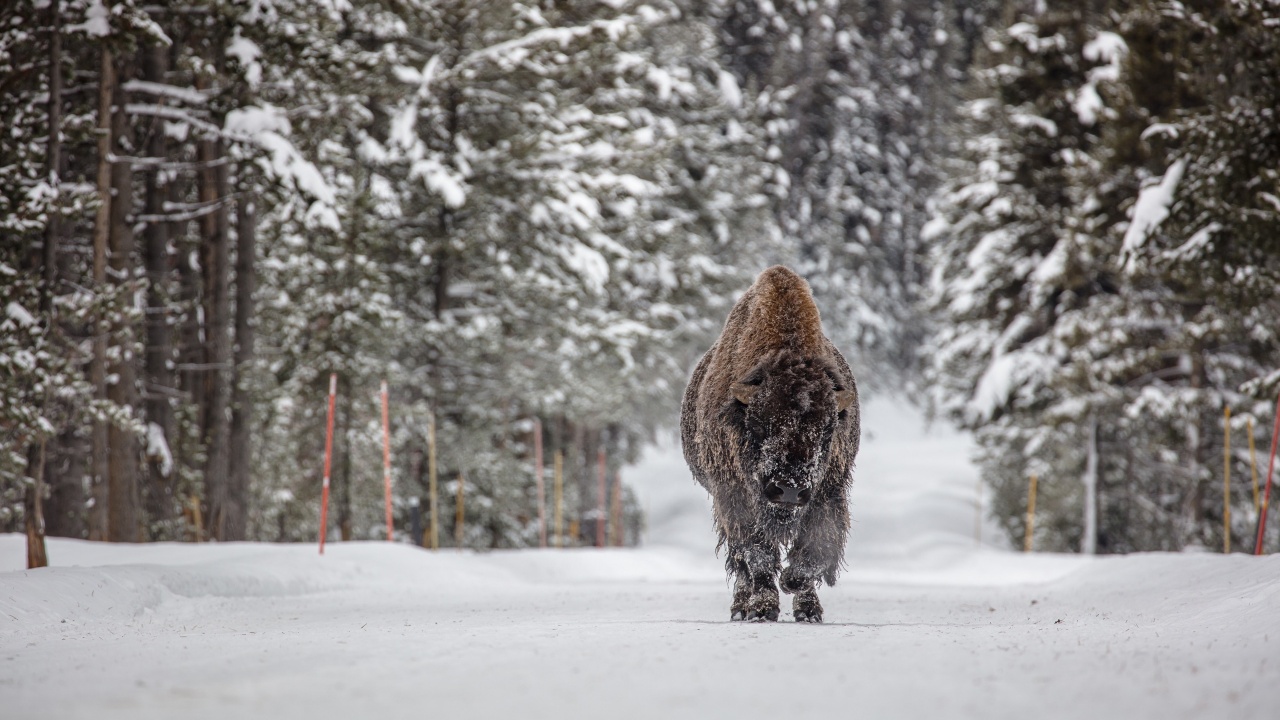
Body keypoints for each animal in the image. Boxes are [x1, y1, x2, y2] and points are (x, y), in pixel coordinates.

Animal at [680, 266, 860, 620]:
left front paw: (796, 587)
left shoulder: (828, 491)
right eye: (759, 425)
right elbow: (756, 554)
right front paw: (763, 608)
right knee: (740, 563)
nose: (788, 489)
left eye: (828, 430)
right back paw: (742, 607)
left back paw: (807, 609)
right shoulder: (734, 496)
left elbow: (817, 547)